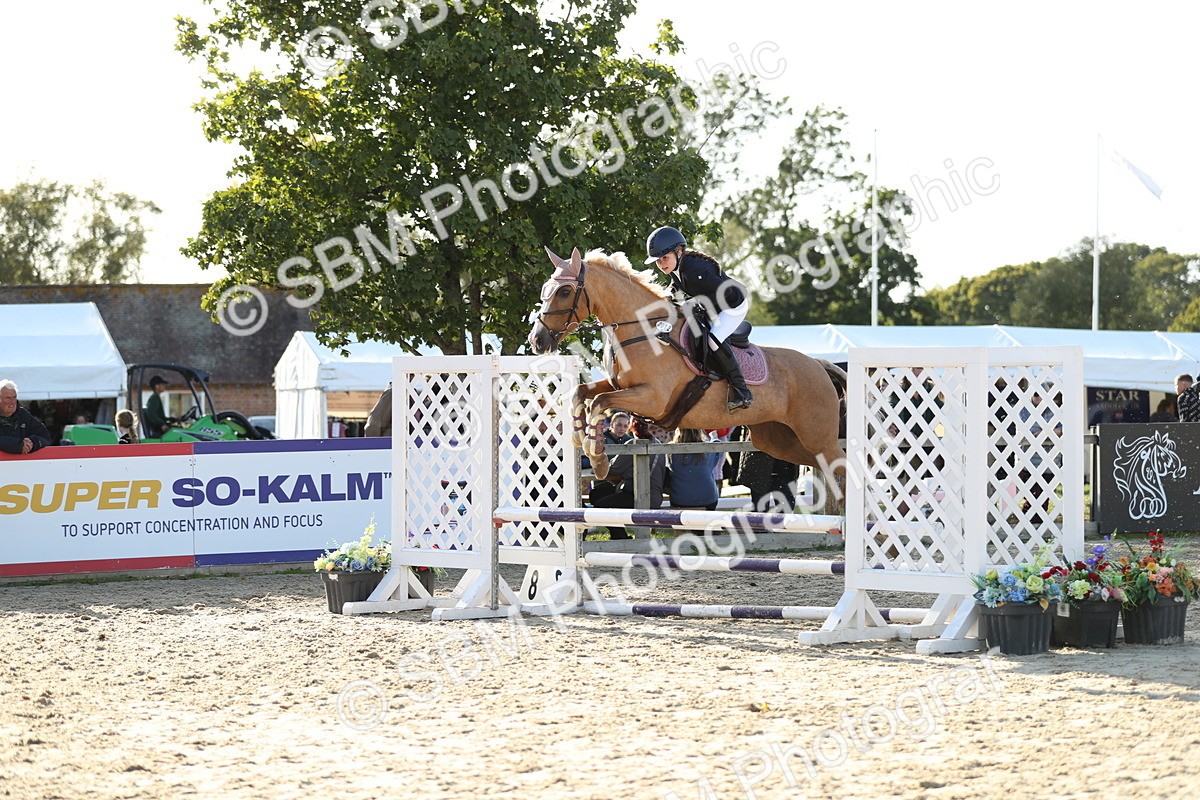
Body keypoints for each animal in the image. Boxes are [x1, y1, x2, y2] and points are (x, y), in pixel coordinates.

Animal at [527, 247, 848, 486]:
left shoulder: (652, 399)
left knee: (844, 466)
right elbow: (582, 393)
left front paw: (599, 460)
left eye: (564, 292)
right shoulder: (620, 385)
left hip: (816, 436)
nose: (537, 340)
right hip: (781, 440)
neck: (645, 330)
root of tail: (819, 365)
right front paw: (579, 439)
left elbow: (600, 402)